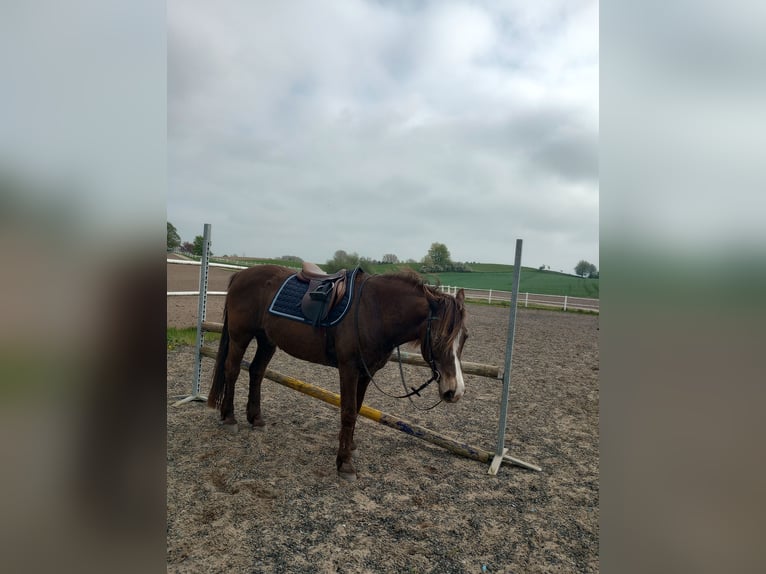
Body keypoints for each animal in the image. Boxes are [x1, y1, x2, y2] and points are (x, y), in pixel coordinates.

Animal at [207, 266, 468, 482]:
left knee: (256, 372)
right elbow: (349, 412)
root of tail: (241, 275)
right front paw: (345, 464)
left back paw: (256, 419)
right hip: (240, 337)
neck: (375, 310)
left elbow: (357, 409)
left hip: (266, 341)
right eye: (438, 338)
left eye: (464, 337)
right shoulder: (349, 368)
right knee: (232, 371)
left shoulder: (367, 372)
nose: (454, 391)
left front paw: (349, 446)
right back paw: (229, 418)